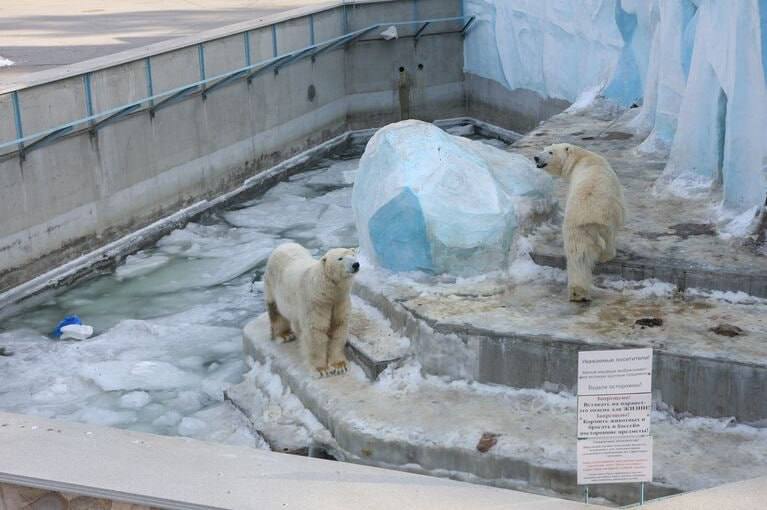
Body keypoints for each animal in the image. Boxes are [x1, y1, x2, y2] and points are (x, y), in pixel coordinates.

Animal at [264, 241, 360, 376]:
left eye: (353, 255)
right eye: (340, 258)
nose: (355, 264)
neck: (325, 292)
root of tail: (284, 244)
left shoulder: (340, 301)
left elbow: (339, 326)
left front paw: (339, 366)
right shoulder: (315, 302)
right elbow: (315, 331)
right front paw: (321, 369)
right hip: (272, 284)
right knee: (276, 310)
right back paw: (285, 335)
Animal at [536, 142, 624, 302]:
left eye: (550, 152)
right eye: (543, 149)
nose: (536, 157)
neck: (581, 158)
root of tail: (588, 215)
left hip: (575, 227)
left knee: (577, 255)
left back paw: (578, 292)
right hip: (606, 219)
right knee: (608, 237)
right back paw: (607, 255)